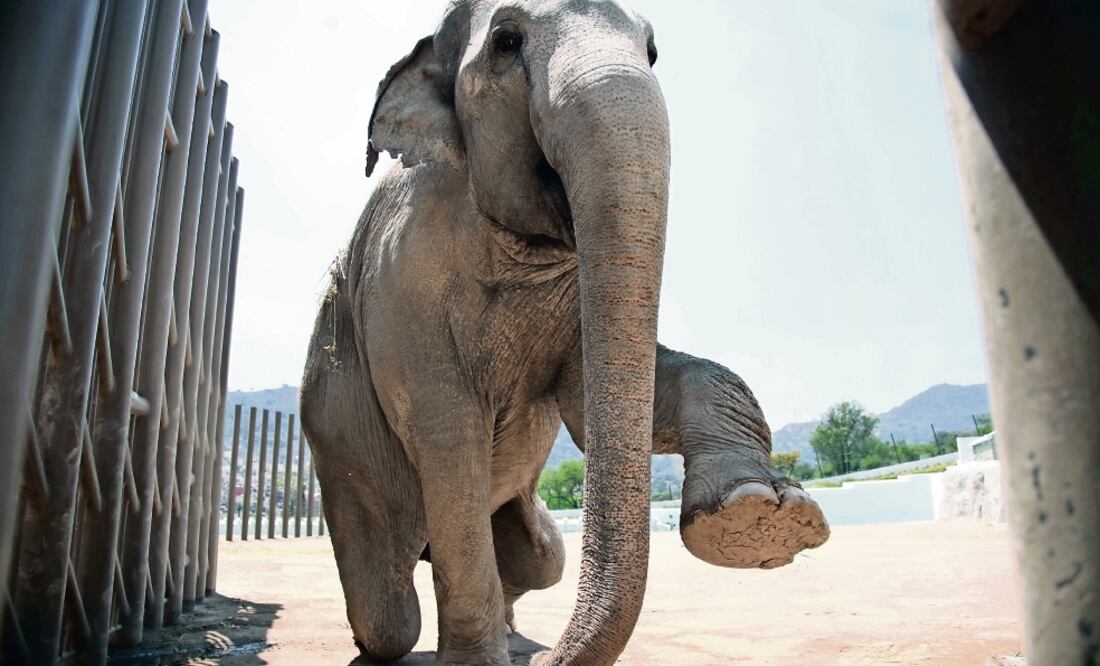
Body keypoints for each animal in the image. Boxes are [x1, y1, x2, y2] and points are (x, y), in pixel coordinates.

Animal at [299, 0, 830, 663]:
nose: (554, 656)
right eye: (506, 42)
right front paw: (474, 664)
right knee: (389, 615)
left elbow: (591, 403)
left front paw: (760, 515)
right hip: (342, 456)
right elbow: (448, 433)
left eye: (653, 51)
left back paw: (513, 630)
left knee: (544, 558)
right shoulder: (402, 280)